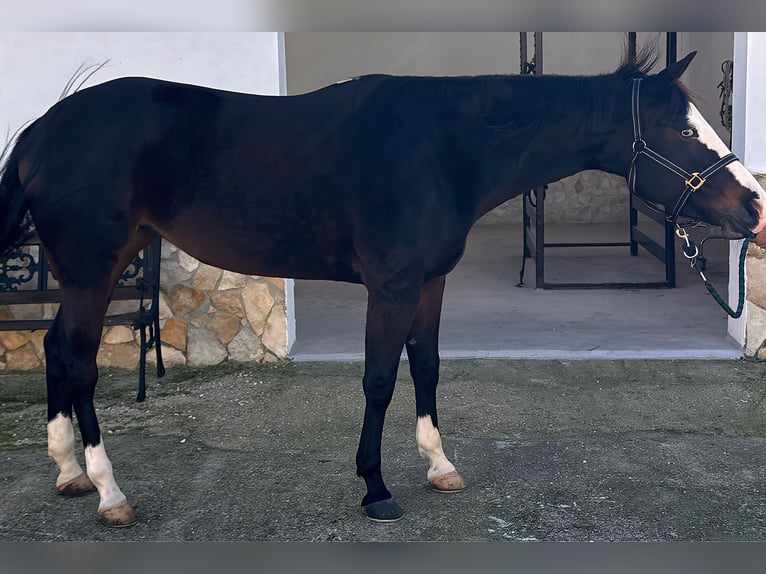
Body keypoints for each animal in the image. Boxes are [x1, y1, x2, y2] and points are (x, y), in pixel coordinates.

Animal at [1, 43, 764, 527]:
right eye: (680, 130)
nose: (753, 205)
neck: (441, 148)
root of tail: (42, 128)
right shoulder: (391, 286)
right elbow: (378, 378)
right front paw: (375, 488)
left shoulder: (428, 283)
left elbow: (425, 367)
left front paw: (439, 465)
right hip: (92, 269)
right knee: (78, 361)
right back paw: (108, 492)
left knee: (55, 351)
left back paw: (69, 473)